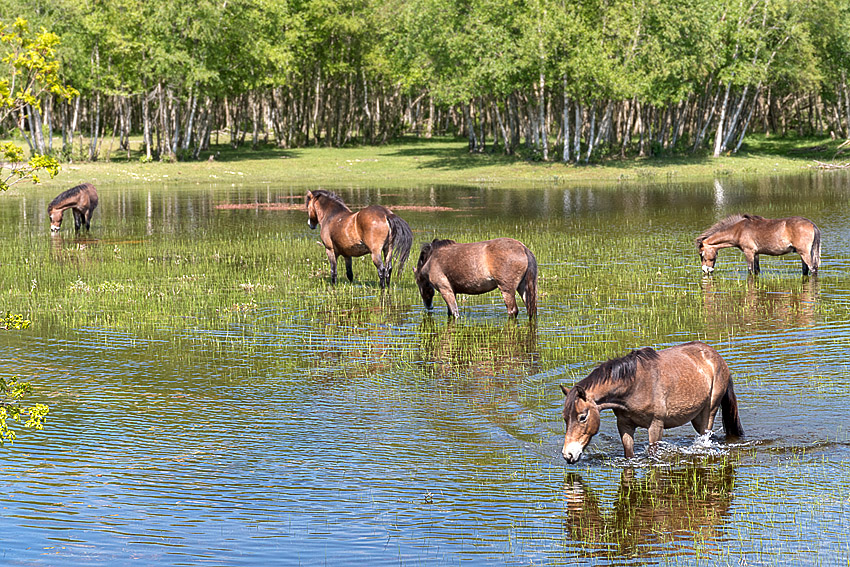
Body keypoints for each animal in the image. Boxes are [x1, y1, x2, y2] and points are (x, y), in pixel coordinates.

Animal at [560, 340, 740, 464]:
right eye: (565, 418)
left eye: (582, 417)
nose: (568, 454)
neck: (635, 386)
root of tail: (717, 357)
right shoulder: (624, 425)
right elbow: (629, 453)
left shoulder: (656, 426)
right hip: (696, 416)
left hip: (708, 413)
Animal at [692, 214, 820, 276]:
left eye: (701, 254)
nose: (705, 270)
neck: (738, 230)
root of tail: (812, 224)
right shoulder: (756, 254)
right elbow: (757, 270)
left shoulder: (748, 252)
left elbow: (750, 270)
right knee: (806, 270)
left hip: (805, 253)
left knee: (813, 269)